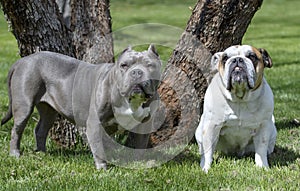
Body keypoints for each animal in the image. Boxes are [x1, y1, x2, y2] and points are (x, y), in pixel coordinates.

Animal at [1, 44, 162, 169]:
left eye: (150, 65)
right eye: (124, 65)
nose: (137, 72)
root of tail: (23, 60)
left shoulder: (145, 124)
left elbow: (141, 145)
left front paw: (139, 164)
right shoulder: (94, 123)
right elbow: (99, 148)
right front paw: (103, 168)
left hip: (49, 111)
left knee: (40, 129)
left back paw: (42, 153)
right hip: (24, 105)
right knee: (17, 130)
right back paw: (15, 154)